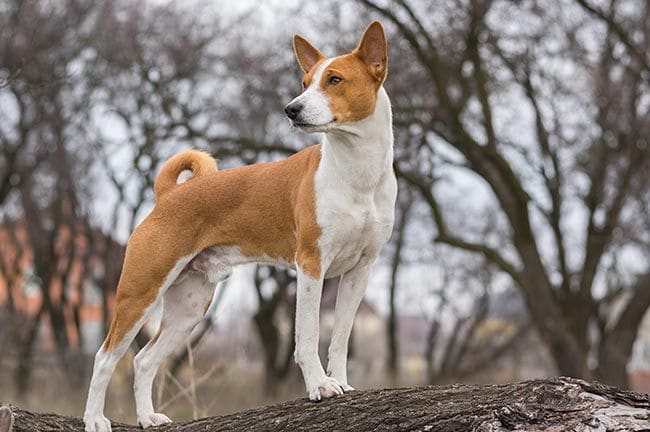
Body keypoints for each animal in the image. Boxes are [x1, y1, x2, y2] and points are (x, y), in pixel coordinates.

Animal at [81, 18, 394, 430]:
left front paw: (341, 383)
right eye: (304, 81)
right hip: (140, 291)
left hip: (190, 305)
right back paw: (94, 419)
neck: (358, 174)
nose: (291, 109)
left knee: (144, 359)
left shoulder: (360, 269)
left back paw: (148, 417)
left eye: (335, 80)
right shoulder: (311, 265)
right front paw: (319, 387)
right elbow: (308, 337)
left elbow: (340, 338)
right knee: (104, 357)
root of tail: (168, 195)